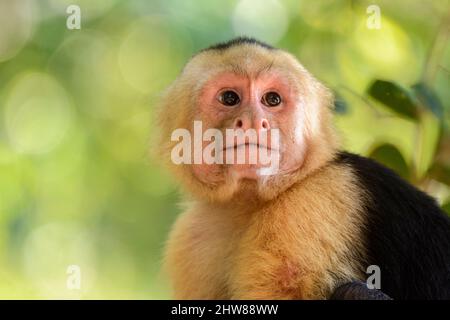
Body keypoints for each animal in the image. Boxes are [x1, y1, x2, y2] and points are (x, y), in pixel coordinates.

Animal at [157, 37, 450, 300]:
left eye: (271, 100)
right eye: (229, 98)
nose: (253, 121)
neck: (249, 203)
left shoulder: (317, 201)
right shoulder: (190, 238)